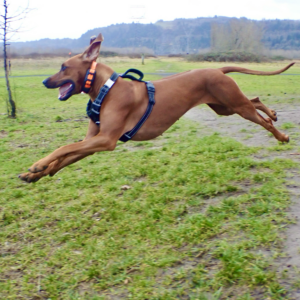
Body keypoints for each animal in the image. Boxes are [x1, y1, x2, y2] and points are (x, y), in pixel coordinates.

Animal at [19, 32, 296, 183]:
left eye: (63, 67)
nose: (44, 81)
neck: (106, 89)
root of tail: (218, 68)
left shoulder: (107, 140)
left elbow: (63, 147)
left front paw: (37, 165)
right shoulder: (93, 141)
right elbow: (65, 156)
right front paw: (37, 173)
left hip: (234, 104)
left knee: (262, 120)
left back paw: (281, 135)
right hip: (224, 106)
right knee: (255, 99)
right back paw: (272, 113)